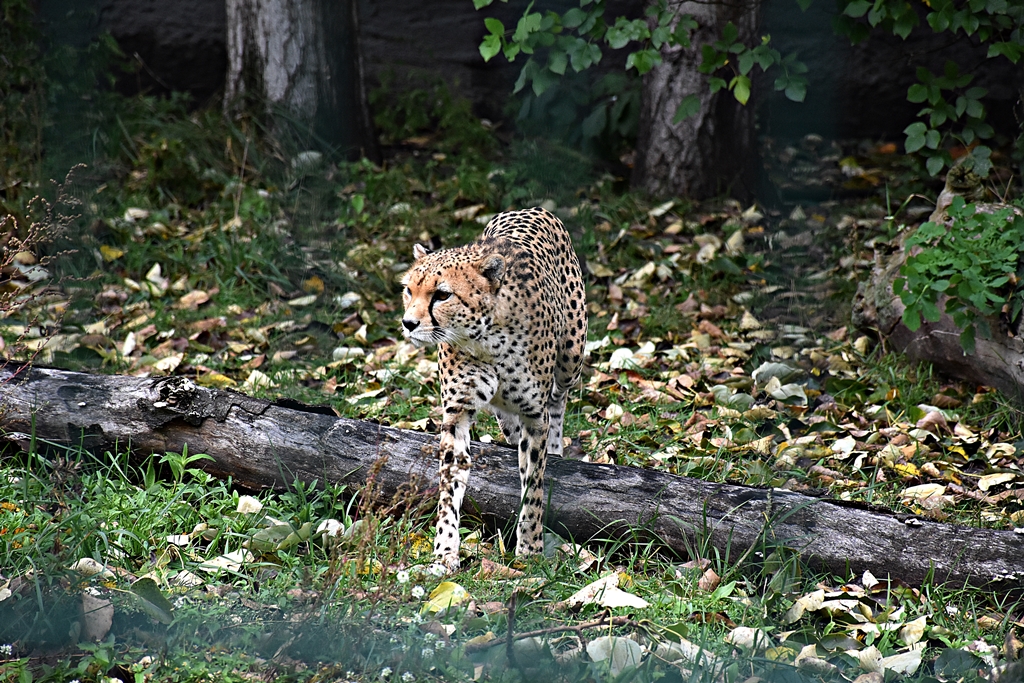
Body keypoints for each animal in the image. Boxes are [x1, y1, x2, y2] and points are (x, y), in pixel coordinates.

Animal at [400, 207, 587, 573]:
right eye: (408, 291)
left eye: (442, 294)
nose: (408, 323)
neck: (485, 338)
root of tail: (530, 208)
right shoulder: (457, 413)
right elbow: (450, 482)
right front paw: (445, 552)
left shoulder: (534, 416)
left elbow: (533, 486)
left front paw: (529, 548)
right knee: (507, 420)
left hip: (571, 355)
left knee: (559, 399)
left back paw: (556, 447)